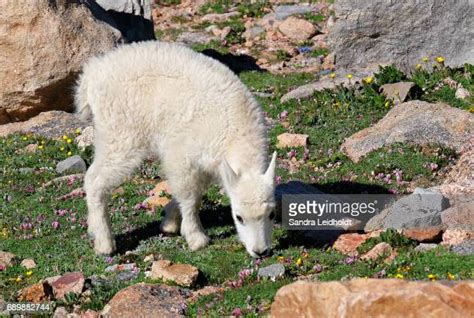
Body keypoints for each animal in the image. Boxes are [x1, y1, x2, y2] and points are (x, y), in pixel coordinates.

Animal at [75, 41, 276, 258]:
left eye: (271, 214)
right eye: (238, 217)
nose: (260, 252)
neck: (234, 132)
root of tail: (92, 75)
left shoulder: (208, 163)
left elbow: (196, 191)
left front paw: (170, 221)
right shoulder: (182, 154)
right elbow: (189, 196)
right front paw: (196, 237)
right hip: (120, 135)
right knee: (95, 179)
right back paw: (104, 242)